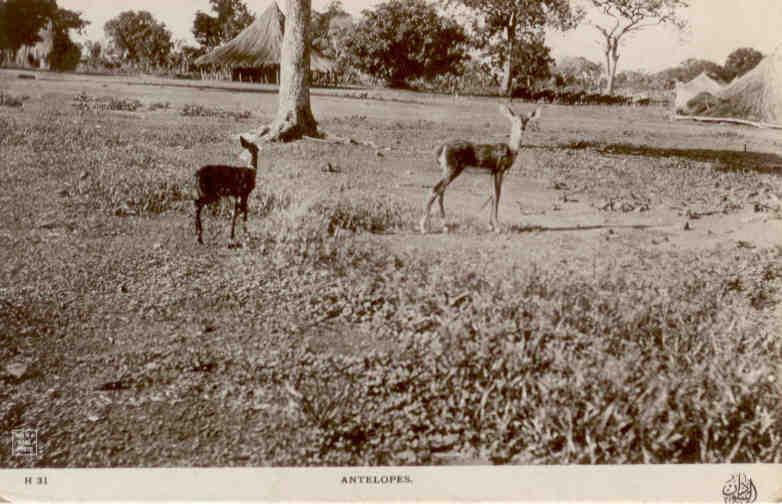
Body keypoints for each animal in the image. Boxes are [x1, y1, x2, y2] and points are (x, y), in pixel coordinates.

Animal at [420, 105, 544, 235]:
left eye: (527, 120)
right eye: (514, 119)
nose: (522, 127)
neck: (511, 150)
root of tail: (441, 149)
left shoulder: (492, 172)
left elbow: (492, 194)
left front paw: (490, 226)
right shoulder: (499, 170)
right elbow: (497, 195)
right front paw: (497, 227)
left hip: (447, 170)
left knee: (441, 192)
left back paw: (444, 226)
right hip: (452, 169)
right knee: (435, 189)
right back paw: (424, 228)